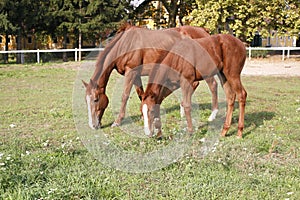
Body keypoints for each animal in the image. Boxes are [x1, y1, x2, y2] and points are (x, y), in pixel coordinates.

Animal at [82, 23, 218, 130]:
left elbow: (125, 96)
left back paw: (212, 116)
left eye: (96, 99)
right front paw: (143, 115)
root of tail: (204, 31)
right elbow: (140, 94)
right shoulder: (136, 75)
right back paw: (183, 110)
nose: (93, 125)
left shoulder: (131, 72)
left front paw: (117, 121)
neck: (124, 45)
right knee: (194, 84)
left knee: (212, 85)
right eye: (86, 100)